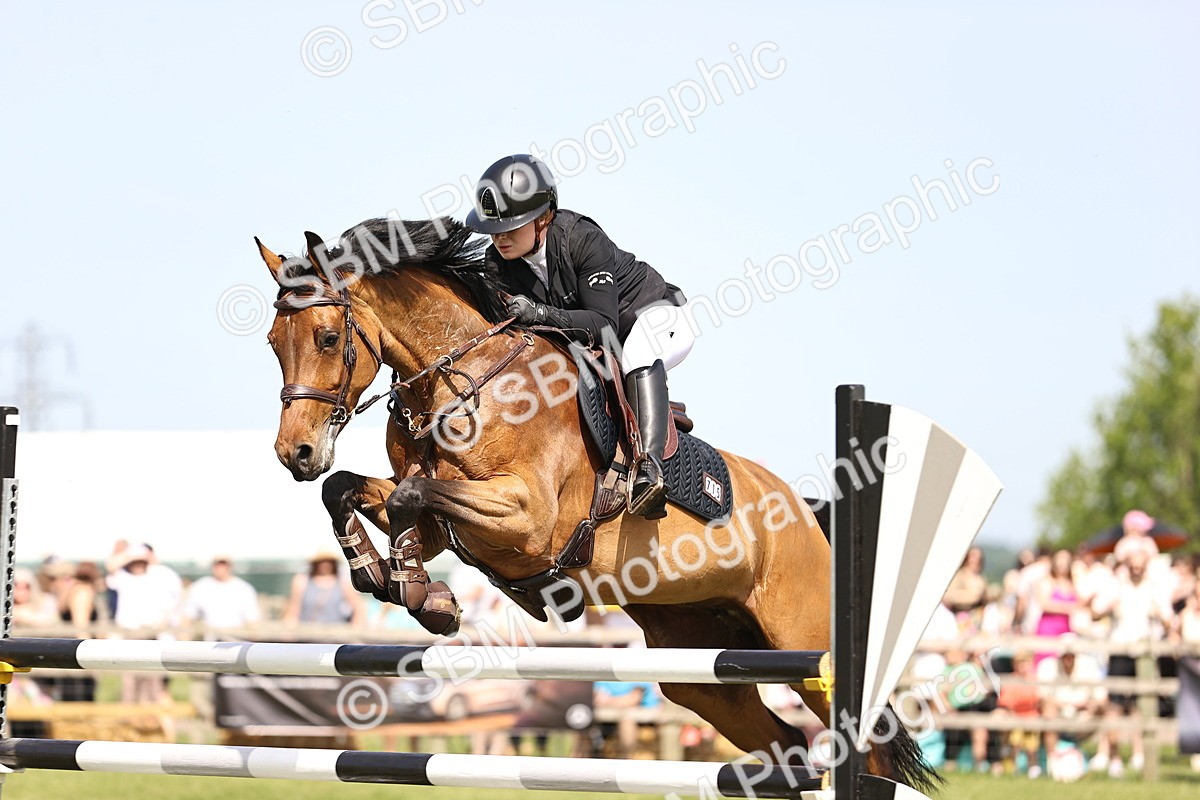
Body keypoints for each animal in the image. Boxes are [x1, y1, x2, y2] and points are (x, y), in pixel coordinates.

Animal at [255, 216, 936, 792]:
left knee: (865, 746)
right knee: (786, 746)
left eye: (327, 336)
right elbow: (350, 490)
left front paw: (424, 596)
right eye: (272, 342)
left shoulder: (527, 520)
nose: (296, 453)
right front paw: (393, 579)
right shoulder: (451, 526)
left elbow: (408, 496)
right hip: (702, 668)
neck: (463, 383)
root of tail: (809, 515)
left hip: (805, 643)